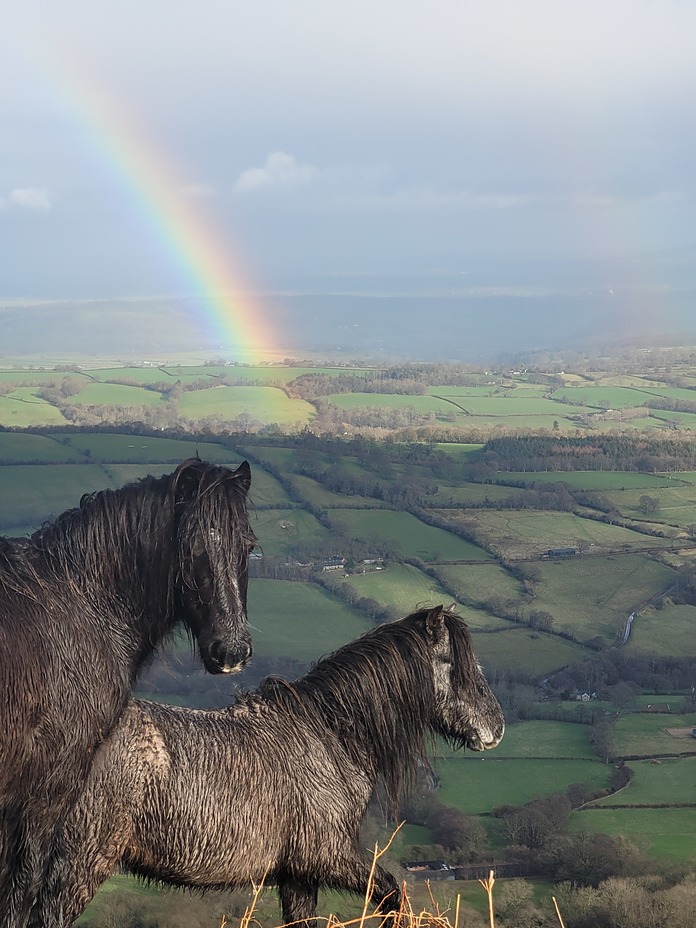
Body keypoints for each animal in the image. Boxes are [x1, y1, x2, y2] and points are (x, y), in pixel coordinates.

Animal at [0, 458, 256, 928]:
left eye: (248, 546)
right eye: (191, 548)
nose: (231, 652)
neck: (83, 606)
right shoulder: (44, 795)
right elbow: (21, 894)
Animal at [38, 604, 502, 924]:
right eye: (454, 666)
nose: (496, 727)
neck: (327, 735)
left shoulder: (298, 876)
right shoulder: (328, 858)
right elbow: (393, 895)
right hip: (79, 865)